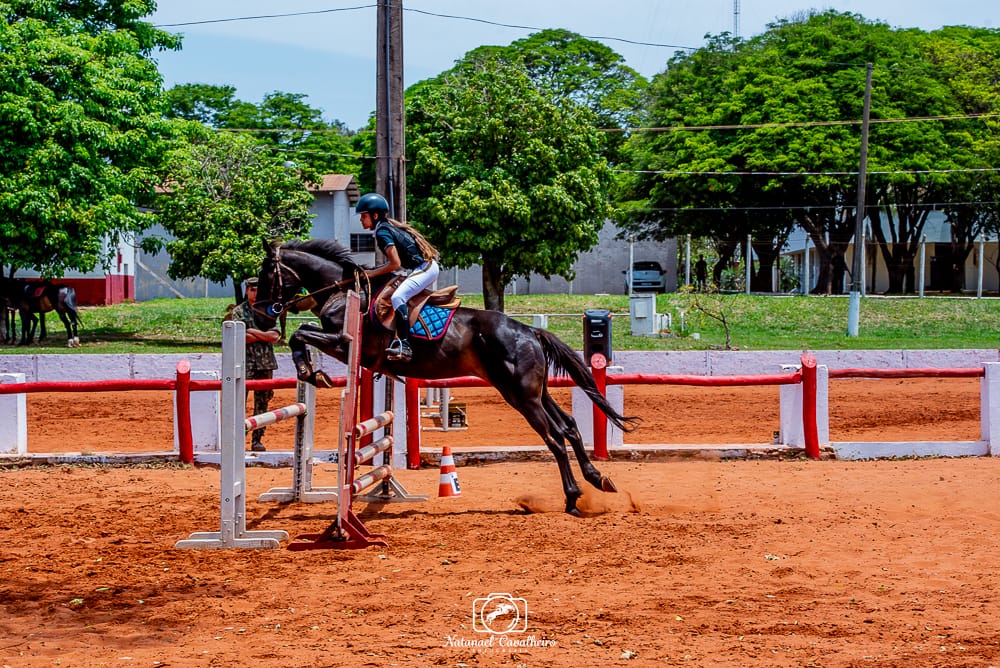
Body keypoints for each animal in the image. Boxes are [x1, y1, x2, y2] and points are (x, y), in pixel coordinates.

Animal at [252, 240, 640, 516]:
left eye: (267, 275)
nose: (261, 313)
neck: (343, 291)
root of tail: (529, 331)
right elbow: (301, 332)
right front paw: (310, 370)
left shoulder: (344, 344)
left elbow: (299, 334)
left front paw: (309, 371)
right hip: (535, 392)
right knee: (570, 426)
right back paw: (598, 480)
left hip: (520, 395)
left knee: (555, 437)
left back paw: (573, 498)